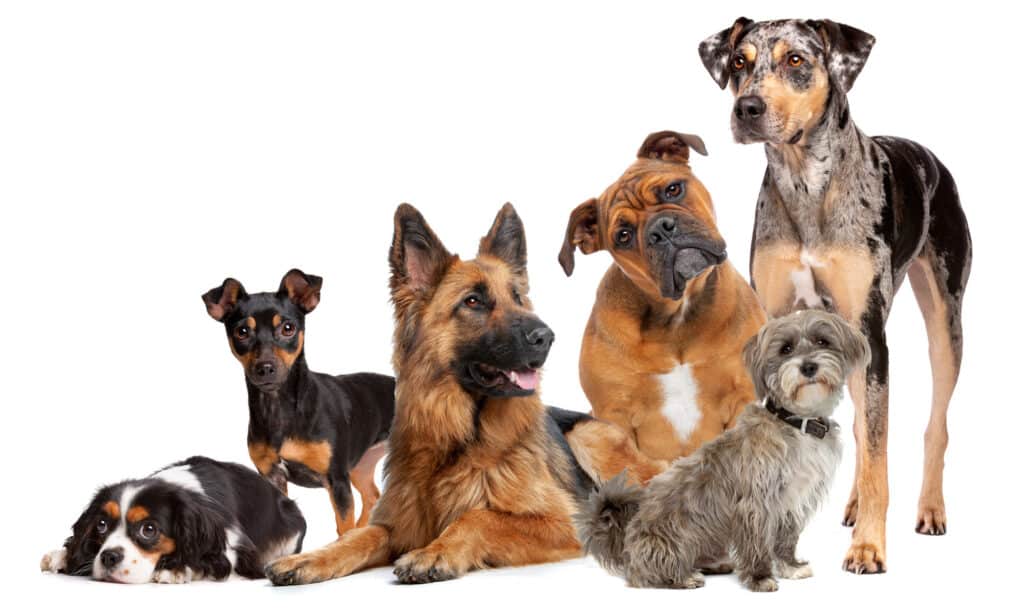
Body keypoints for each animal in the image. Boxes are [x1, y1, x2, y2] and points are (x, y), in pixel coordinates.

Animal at [201, 270, 393, 536]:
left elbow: (342, 527)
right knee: (372, 495)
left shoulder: (337, 481)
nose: (265, 368)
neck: (279, 407)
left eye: (288, 328)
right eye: (242, 332)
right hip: (361, 465)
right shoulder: (272, 476)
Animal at [561, 132, 770, 462]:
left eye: (673, 189)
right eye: (623, 236)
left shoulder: (742, 397)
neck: (676, 315)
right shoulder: (613, 414)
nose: (661, 229)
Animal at [581, 311, 868, 589]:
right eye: (785, 349)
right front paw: (760, 577)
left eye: (822, 341)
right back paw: (683, 577)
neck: (796, 424)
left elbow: (786, 537)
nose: (808, 367)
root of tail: (627, 548)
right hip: (672, 538)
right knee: (649, 572)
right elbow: (757, 542)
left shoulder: (792, 500)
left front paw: (790, 567)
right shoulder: (755, 503)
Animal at [700, 19, 970, 577]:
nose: (747, 109)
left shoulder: (872, 335)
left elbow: (879, 451)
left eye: (796, 60)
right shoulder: (780, 324)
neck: (806, 184)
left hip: (944, 323)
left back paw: (930, 508)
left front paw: (869, 548)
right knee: (865, 428)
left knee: (932, 423)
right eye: (738, 61)